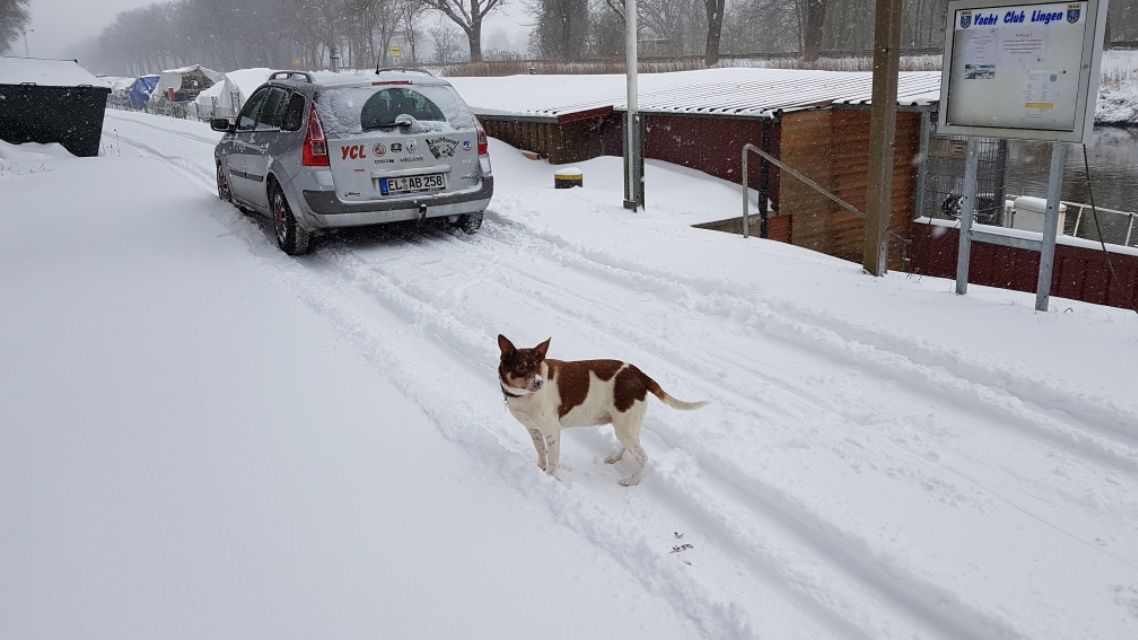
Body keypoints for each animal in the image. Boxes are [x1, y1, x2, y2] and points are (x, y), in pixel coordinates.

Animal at [496, 334, 705, 482]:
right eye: (521, 367)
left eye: (537, 367)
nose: (539, 383)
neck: (523, 397)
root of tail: (638, 373)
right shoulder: (533, 429)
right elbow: (541, 453)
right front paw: (539, 470)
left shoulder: (552, 431)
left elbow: (553, 461)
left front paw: (549, 479)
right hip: (624, 424)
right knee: (631, 446)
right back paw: (615, 458)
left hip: (624, 425)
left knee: (642, 457)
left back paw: (632, 481)